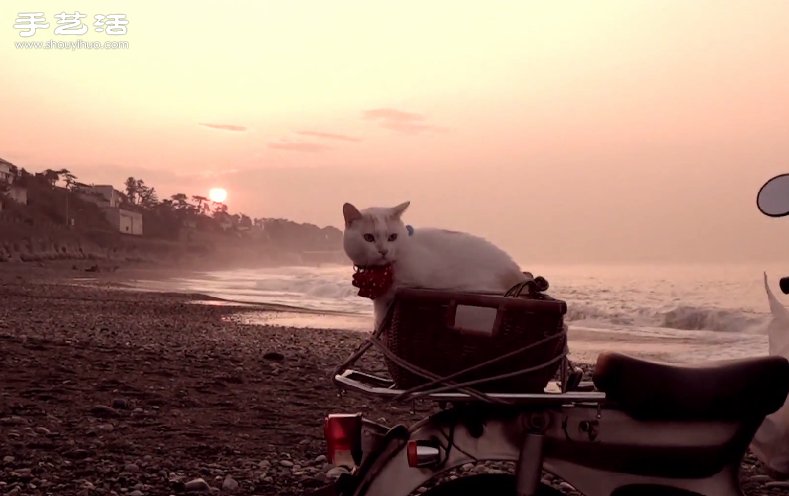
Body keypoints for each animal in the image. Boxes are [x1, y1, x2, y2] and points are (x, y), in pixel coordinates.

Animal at [342, 200, 528, 328]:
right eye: (368, 238)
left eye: (392, 237)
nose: (383, 251)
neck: (381, 273)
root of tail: (519, 276)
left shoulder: (409, 285)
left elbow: (383, 312)